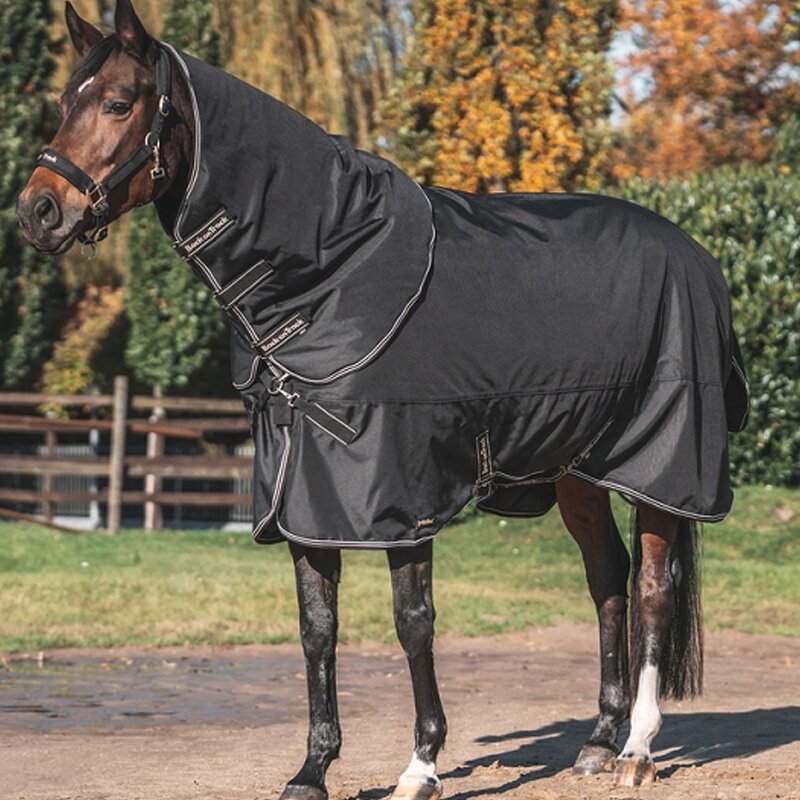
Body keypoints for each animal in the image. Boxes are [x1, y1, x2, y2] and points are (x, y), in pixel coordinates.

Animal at [17, 2, 749, 798]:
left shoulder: (402, 494)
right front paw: (312, 769)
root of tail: (694, 254)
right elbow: (317, 627)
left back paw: (637, 749)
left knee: (651, 589)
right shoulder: (303, 493)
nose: (38, 211)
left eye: (119, 104)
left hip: (661, 465)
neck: (334, 272)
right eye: (65, 102)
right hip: (578, 469)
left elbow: (413, 621)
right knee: (607, 578)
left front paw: (421, 764)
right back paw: (596, 740)